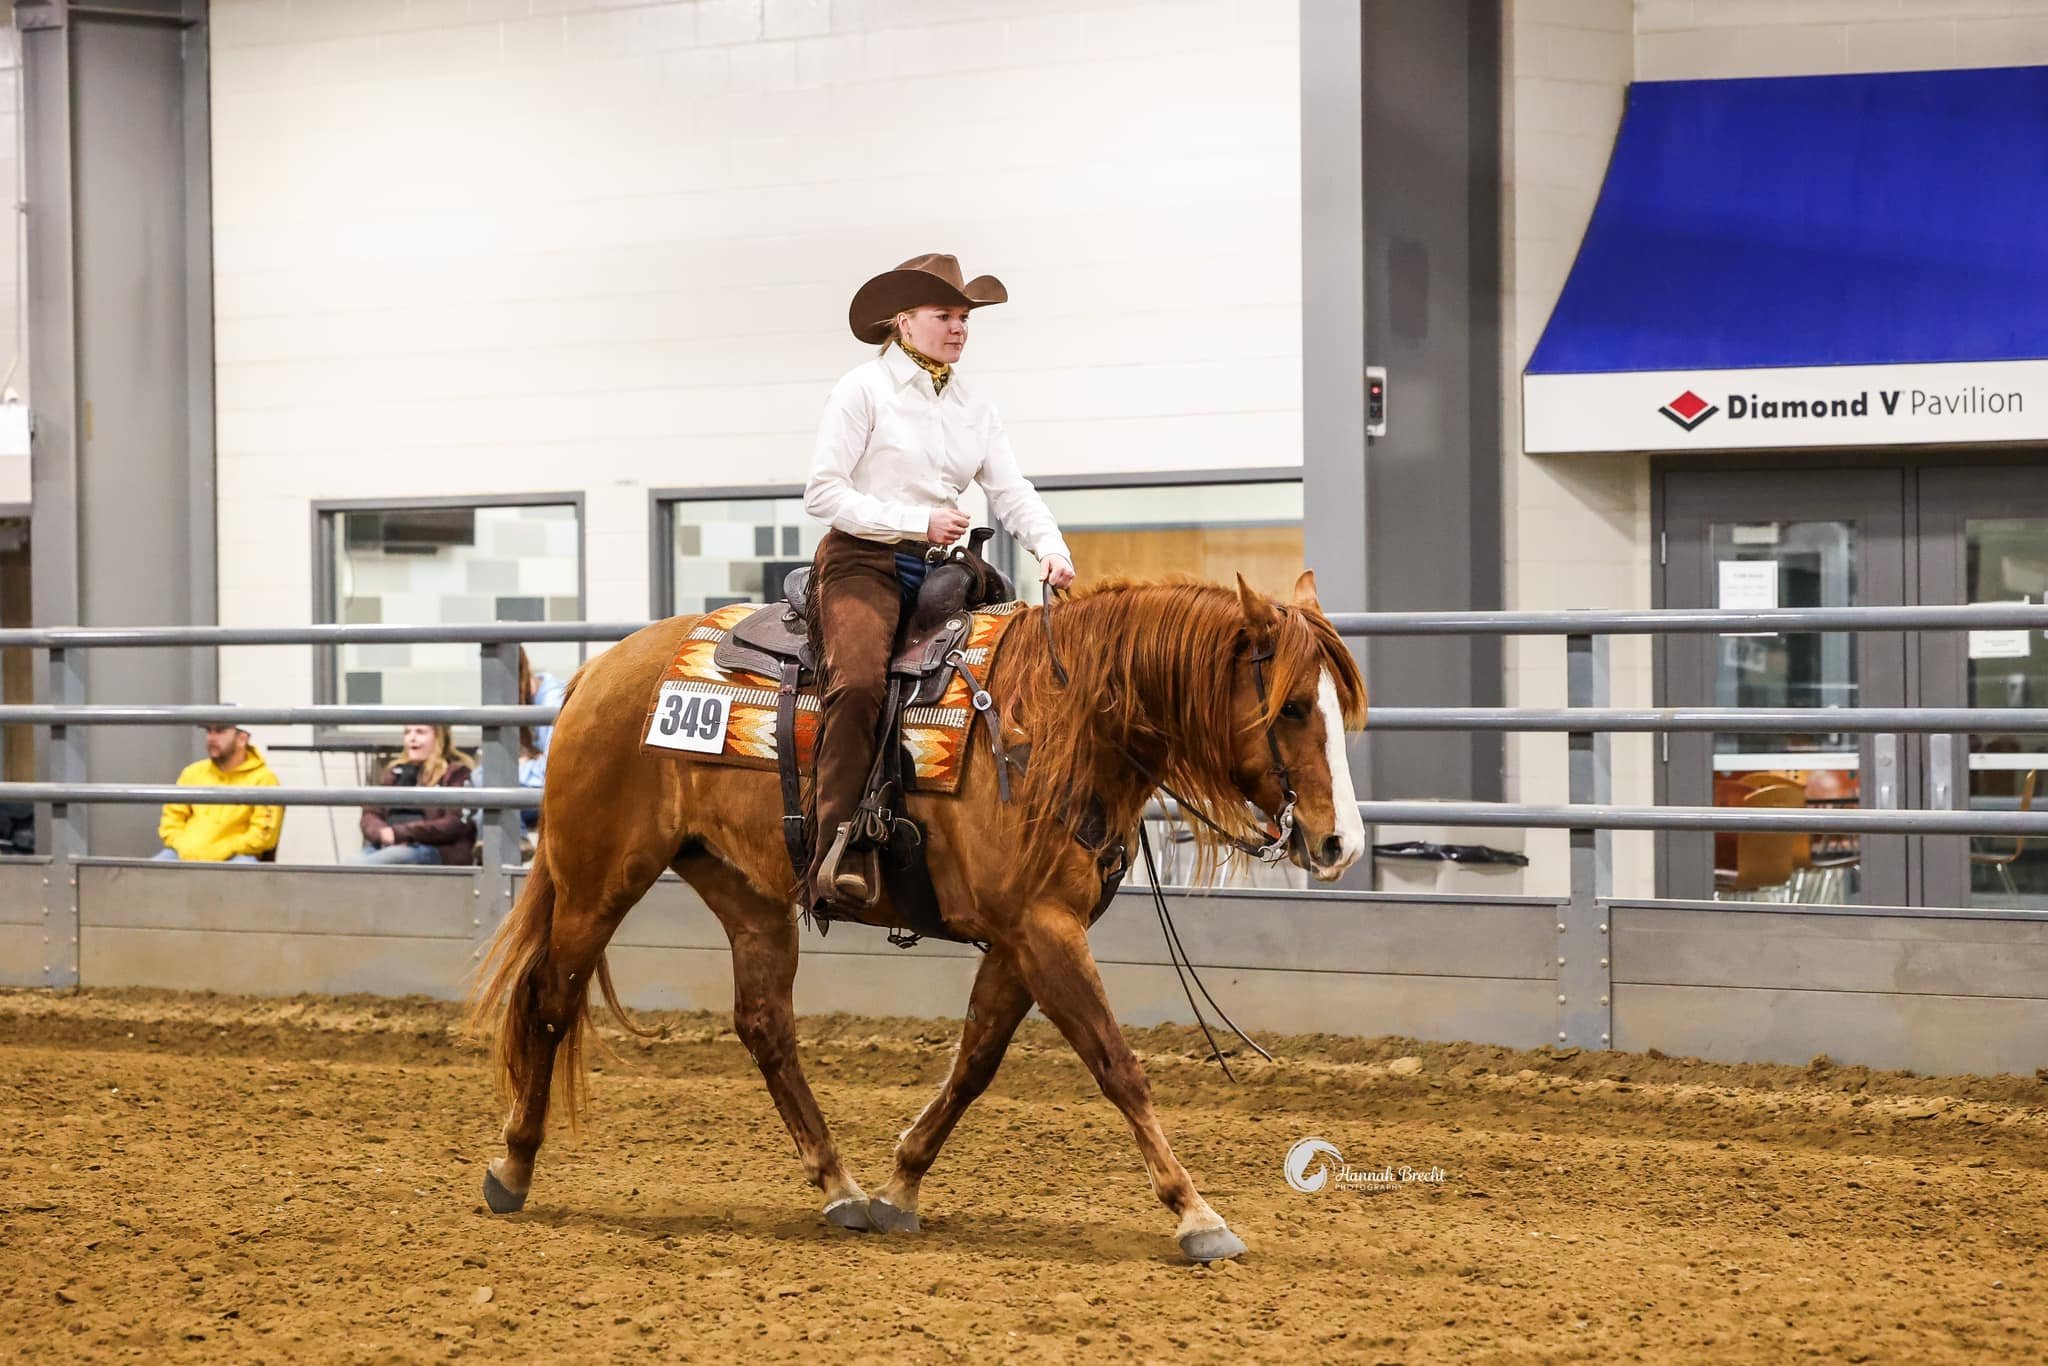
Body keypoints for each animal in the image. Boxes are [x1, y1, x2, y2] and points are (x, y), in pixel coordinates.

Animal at [470, 570, 1368, 1262]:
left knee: (764, 1024)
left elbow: (974, 1061)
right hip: (598, 879)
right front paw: (1196, 1213)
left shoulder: (1023, 937)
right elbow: (1118, 1065)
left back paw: (841, 1186)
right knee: (549, 1000)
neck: (1059, 722)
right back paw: (512, 1169)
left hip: (746, 891)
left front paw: (901, 1183)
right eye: (1291, 707)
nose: (1342, 843)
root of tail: (599, 672)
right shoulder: (1043, 930)